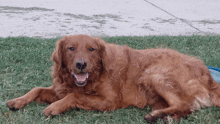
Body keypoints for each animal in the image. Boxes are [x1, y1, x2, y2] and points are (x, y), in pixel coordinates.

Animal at [6, 34, 220, 121]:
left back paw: (157, 116)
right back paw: (163, 117)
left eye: (91, 49)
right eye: (71, 48)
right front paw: (17, 101)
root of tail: (208, 74)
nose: (81, 64)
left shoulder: (110, 101)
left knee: (185, 104)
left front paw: (55, 107)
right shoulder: (59, 88)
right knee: (187, 108)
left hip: (154, 74)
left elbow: (75, 96)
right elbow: (36, 89)